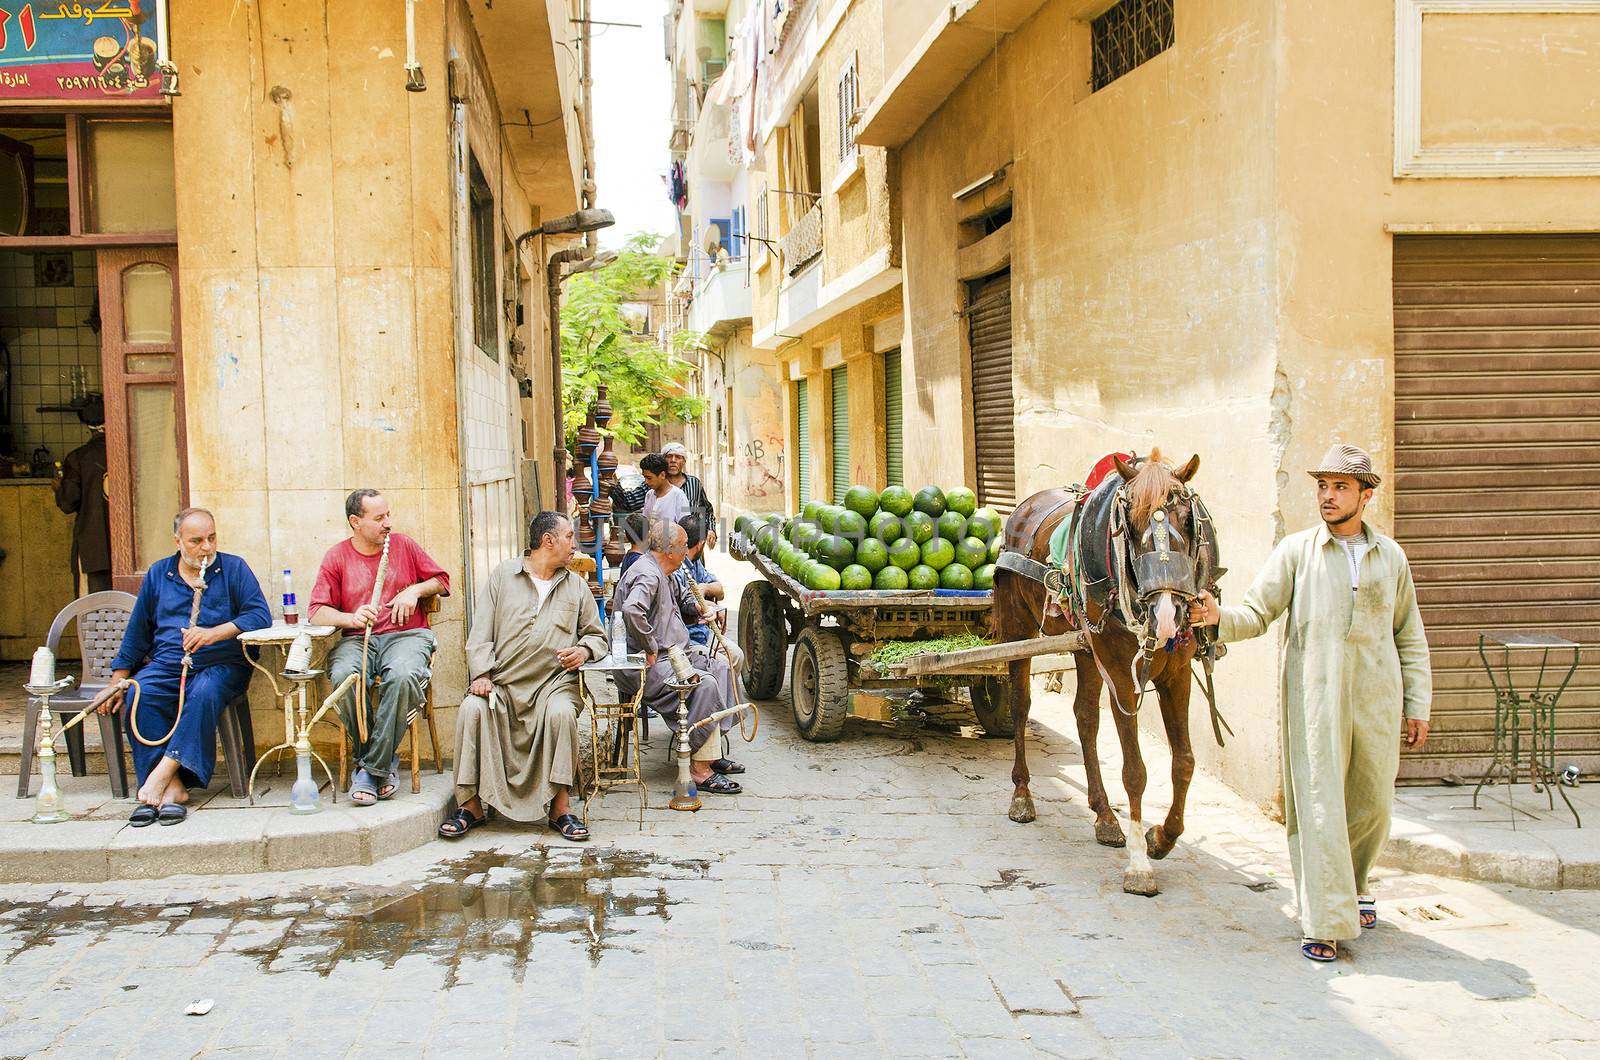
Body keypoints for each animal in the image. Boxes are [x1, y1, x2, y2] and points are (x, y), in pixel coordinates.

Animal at [985, 451, 1209, 903]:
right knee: (1020, 706)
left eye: (1186, 519)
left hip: (1085, 645)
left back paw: (1104, 814)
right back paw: (1022, 795)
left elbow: (1184, 762)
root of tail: (1022, 507)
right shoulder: (1122, 673)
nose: (1165, 615)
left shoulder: (1177, 671)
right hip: (1019, 627)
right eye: (1129, 524)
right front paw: (1140, 867)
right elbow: (1135, 771)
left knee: (1085, 716)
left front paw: (1162, 838)